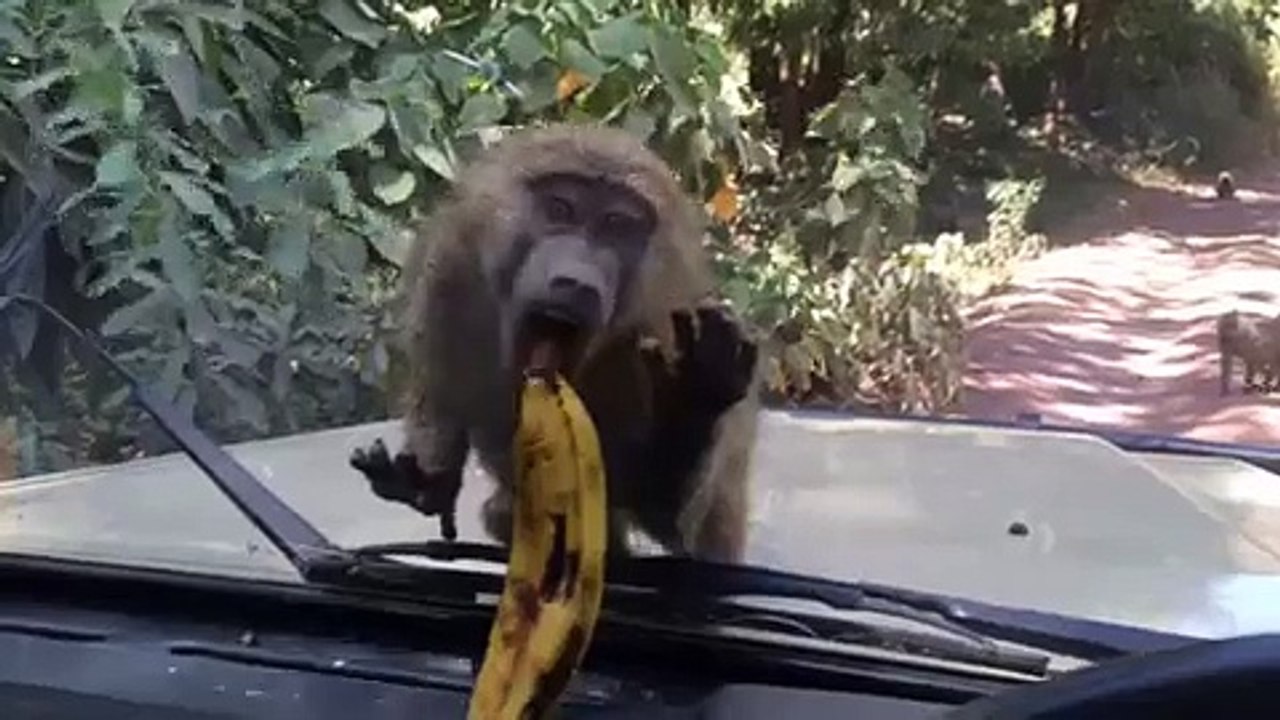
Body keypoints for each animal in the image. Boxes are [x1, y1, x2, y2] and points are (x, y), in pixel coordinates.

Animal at [349, 124, 761, 563]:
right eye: (560, 210)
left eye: (616, 225)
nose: (575, 282)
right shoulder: (453, 266)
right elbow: (442, 398)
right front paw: (430, 482)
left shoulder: (659, 325)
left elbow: (663, 510)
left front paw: (698, 395)